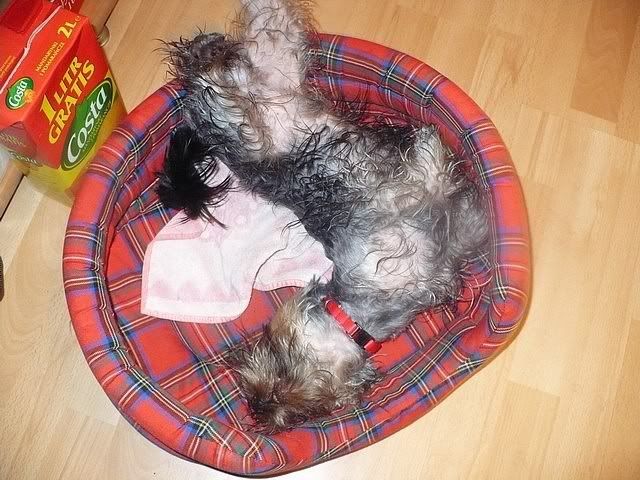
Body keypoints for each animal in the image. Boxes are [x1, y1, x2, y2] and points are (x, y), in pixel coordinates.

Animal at [158, 0, 489, 432]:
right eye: (296, 411)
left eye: (280, 371)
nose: (260, 409)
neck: (361, 312)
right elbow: (431, 159)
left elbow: (439, 170)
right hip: (249, 94)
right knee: (208, 69)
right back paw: (207, 52)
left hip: (272, 53)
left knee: (219, 64)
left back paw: (210, 50)